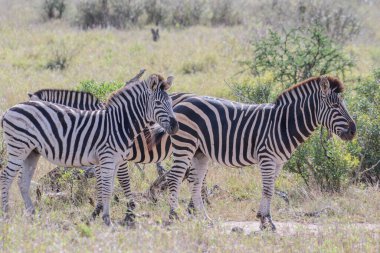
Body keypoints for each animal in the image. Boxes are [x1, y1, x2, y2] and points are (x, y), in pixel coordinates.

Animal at [0, 73, 179, 225]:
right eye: (158, 103)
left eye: (171, 103)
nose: (176, 127)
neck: (119, 124)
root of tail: (10, 109)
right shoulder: (107, 159)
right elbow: (107, 189)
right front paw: (108, 219)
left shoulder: (114, 161)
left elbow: (109, 188)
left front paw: (106, 216)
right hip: (18, 148)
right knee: (5, 178)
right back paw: (6, 215)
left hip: (31, 152)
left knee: (22, 181)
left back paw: (32, 214)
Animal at [148, 74, 356, 229]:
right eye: (335, 106)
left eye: (343, 104)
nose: (353, 131)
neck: (283, 124)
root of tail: (181, 103)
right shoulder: (267, 157)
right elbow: (268, 189)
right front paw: (268, 222)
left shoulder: (279, 161)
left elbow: (270, 188)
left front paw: (263, 219)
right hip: (185, 144)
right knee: (175, 178)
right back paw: (174, 217)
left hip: (200, 153)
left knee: (194, 182)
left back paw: (205, 219)